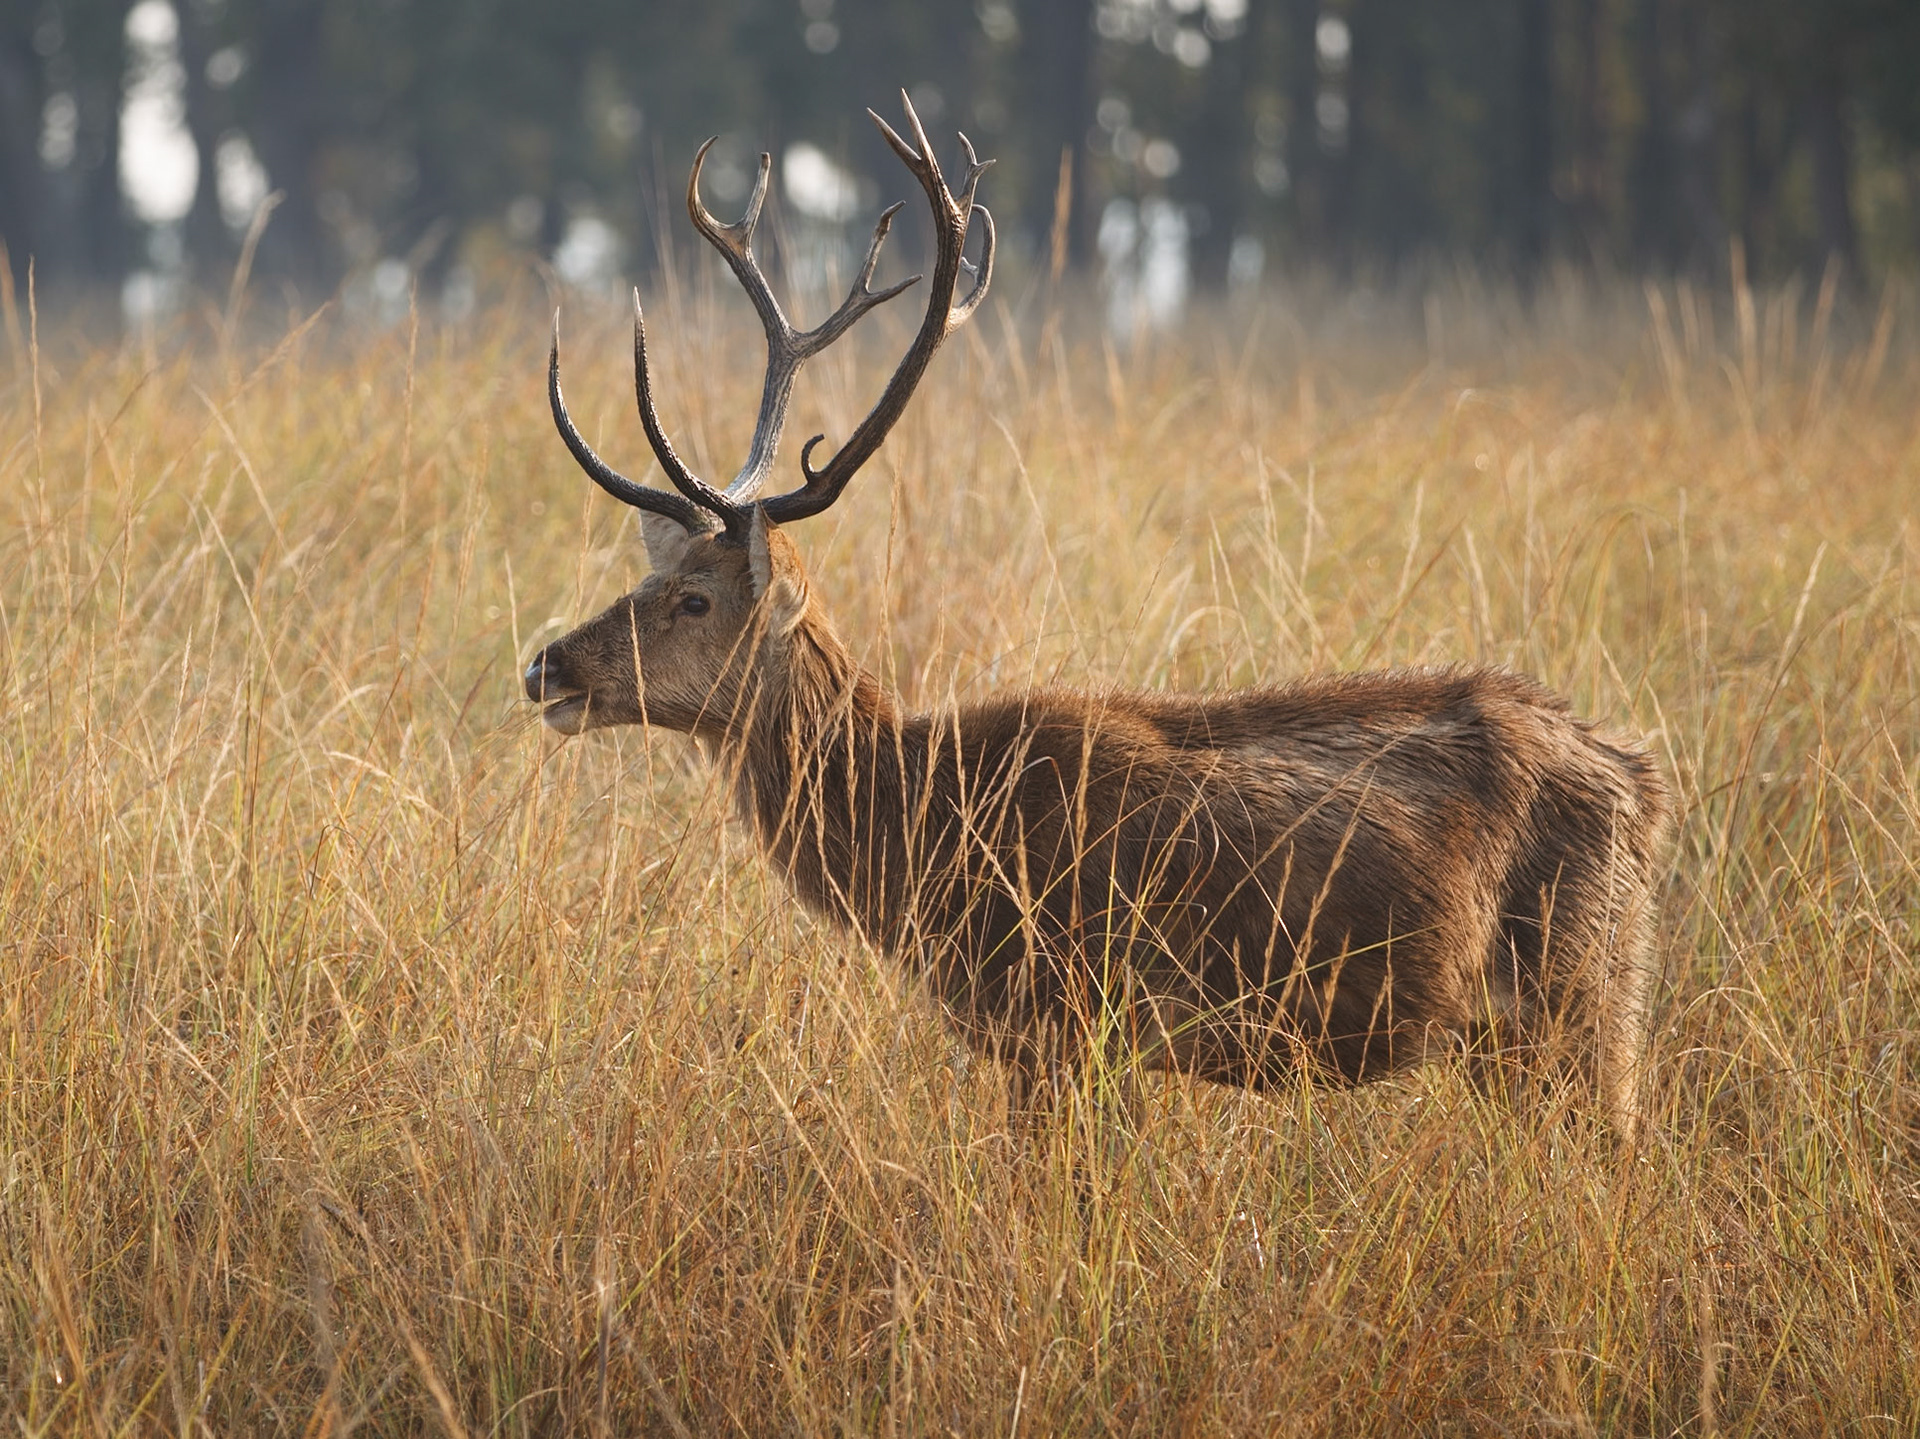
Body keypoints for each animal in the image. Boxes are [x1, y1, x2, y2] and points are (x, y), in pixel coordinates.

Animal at [524, 96, 1673, 1141]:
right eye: (653, 578)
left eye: (695, 598)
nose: (548, 666)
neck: (929, 829)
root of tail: (1644, 781)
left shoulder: (1076, 1010)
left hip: (1581, 991)